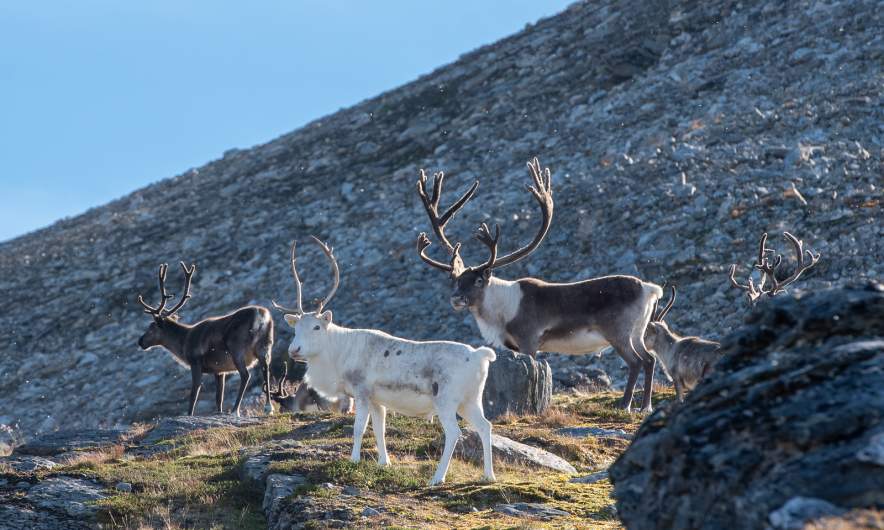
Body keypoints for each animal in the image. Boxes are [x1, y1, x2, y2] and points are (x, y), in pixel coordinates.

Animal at [137, 262, 274, 417]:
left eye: (151, 327)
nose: (140, 341)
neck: (183, 343)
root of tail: (261, 316)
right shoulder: (219, 370)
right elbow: (219, 398)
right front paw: (219, 412)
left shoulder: (195, 362)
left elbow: (194, 393)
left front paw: (190, 414)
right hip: (265, 346)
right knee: (266, 370)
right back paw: (268, 407)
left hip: (237, 348)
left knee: (246, 375)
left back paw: (235, 410)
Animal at [273, 237, 496, 486]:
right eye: (296, 328)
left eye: (316, 327)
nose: (294, 350)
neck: (338, 356)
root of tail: (480, 356)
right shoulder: (376, 399)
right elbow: (379, 428)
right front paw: (384, 462)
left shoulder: (361, 391)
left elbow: (359, 428)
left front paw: (354, 460)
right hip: (471, 399)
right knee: (485, 426)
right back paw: (488, 475)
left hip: (446, 399)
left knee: (454, 432)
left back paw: (438, 477)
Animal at [415, 157, 664, 412]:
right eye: (455, 280)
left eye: (478, 280)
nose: (456, 298)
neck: (500, 311)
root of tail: (649, 289)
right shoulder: (511, 346)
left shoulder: (529, 341)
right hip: (638, 331)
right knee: (649, 359)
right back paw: (646, 406)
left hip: (619, 332)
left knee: (636, 362)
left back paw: (625, 404)